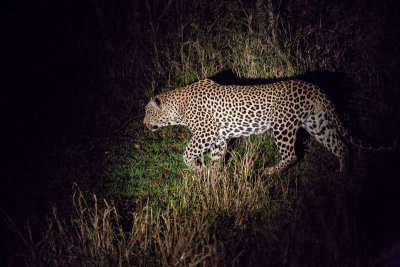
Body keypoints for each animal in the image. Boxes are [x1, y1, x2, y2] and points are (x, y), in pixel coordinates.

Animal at [144, 79, 388, 176]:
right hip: (317, 123)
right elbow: (216, 157)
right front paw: (213, 176)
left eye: (147, 112)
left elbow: (186, 153)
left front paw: (198, 169)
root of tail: (313, 86)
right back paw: (343, 174)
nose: (145, 124)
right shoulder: (219, 137)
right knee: (340, 145)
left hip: (283, 126)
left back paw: (269, 172)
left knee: (292, 155)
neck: (178, 107)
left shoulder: (206, 132)